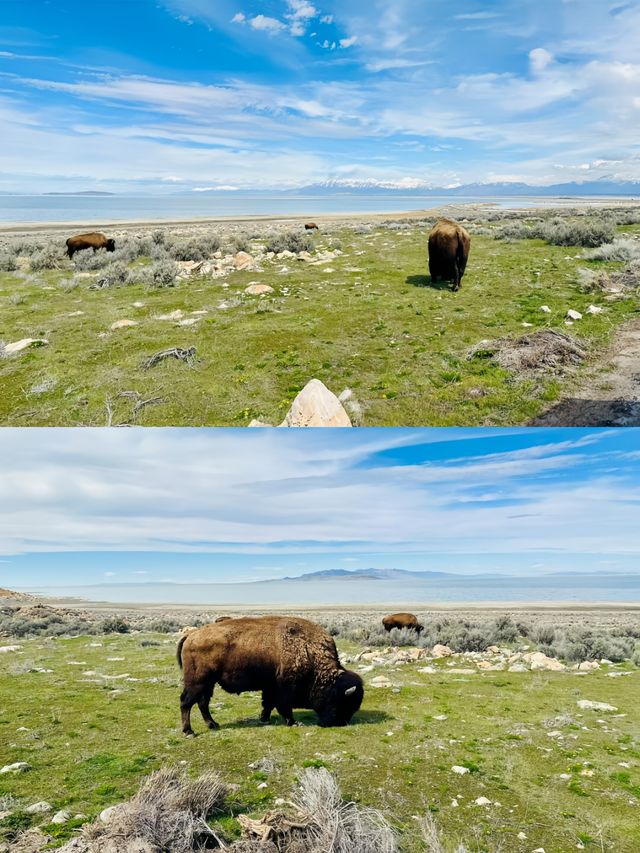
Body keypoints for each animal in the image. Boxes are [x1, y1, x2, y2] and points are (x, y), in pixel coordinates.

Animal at [178, 612, 362, 732]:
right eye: (343, 702)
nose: (339, 723)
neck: (309, 651)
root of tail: (191, 635)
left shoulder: (270, 687)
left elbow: (268, 704)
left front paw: (264, 719)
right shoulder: (283, 690)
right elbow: (282, 706)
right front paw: (292, 722)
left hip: (208, 683)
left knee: (202, 702)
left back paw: (213, 725)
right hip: (198, 682)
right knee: (186, 702)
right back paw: (189, 731)